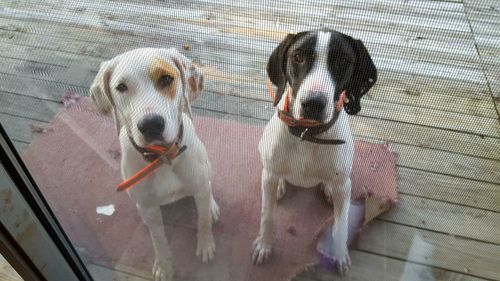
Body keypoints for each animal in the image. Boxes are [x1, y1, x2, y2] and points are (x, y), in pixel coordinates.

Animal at [91, 48, 219, 280]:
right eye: (121, 87)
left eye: (166, 79)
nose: (151, 125)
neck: (162, 158)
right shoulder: (149, 208)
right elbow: (158, 239)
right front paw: (164, 265)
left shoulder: (199, 185)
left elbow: (203, 220)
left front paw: (206, 245)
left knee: (207, 190)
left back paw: (212, 206)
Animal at [252, 30, 376, 274]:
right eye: (298, 57)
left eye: (342, 61)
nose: (313, 103)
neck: (307, 133)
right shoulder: (269, 176)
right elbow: (267, 216)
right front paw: (264, 244)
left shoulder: (343, 186)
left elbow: (341, 225)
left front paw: (338, 254)